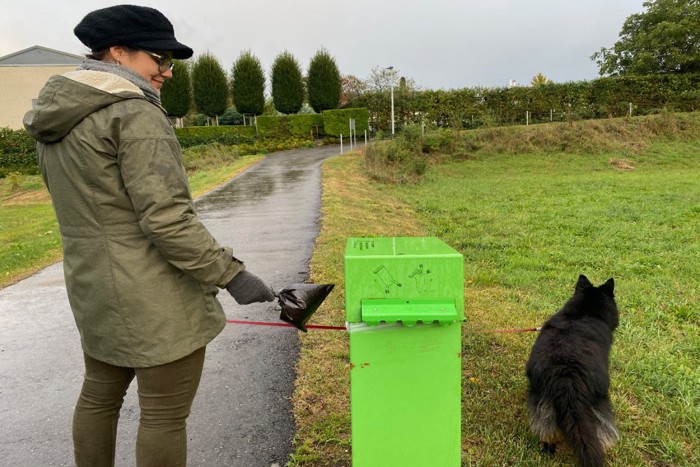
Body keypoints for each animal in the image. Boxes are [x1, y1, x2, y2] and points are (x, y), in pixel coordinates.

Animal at [524, 274, 616, 467]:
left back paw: (548, 447)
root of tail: (566, 375)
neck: (583, 314)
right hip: (599, 400)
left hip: (542, 400)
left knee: (547, 428)